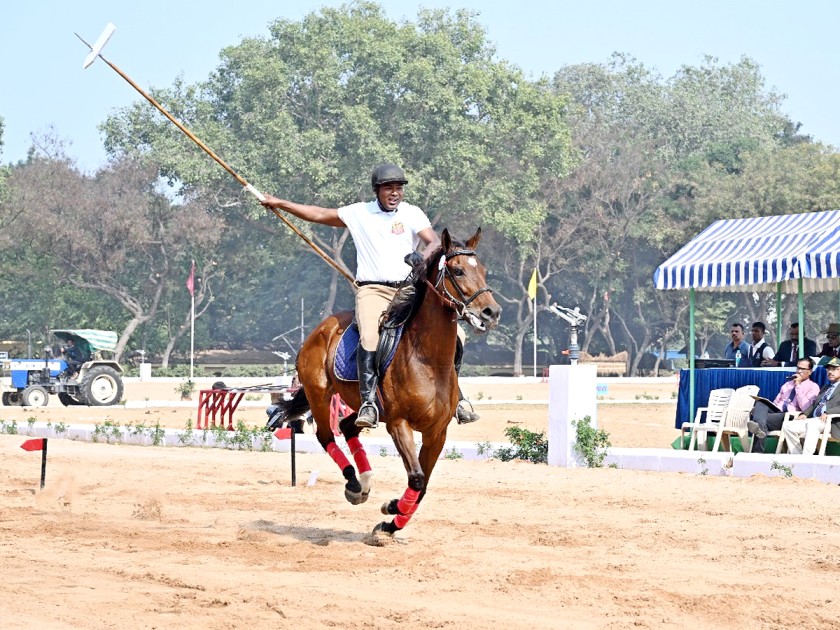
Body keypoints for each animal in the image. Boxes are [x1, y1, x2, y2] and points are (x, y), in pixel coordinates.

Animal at [272, 230, 502, 536]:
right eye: (458, 270)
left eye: (484, 270)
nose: (491, 312)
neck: (428, 360)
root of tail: (323, 327)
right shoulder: (398, 423)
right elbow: (416, 478)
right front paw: (391, 510)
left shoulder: (437, 432)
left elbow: (423, 485)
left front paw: (390, 524)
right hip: (319, 394)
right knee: (326, 435)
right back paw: (354, 484)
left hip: (362, 405)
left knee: (348, 426)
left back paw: (364, 482)